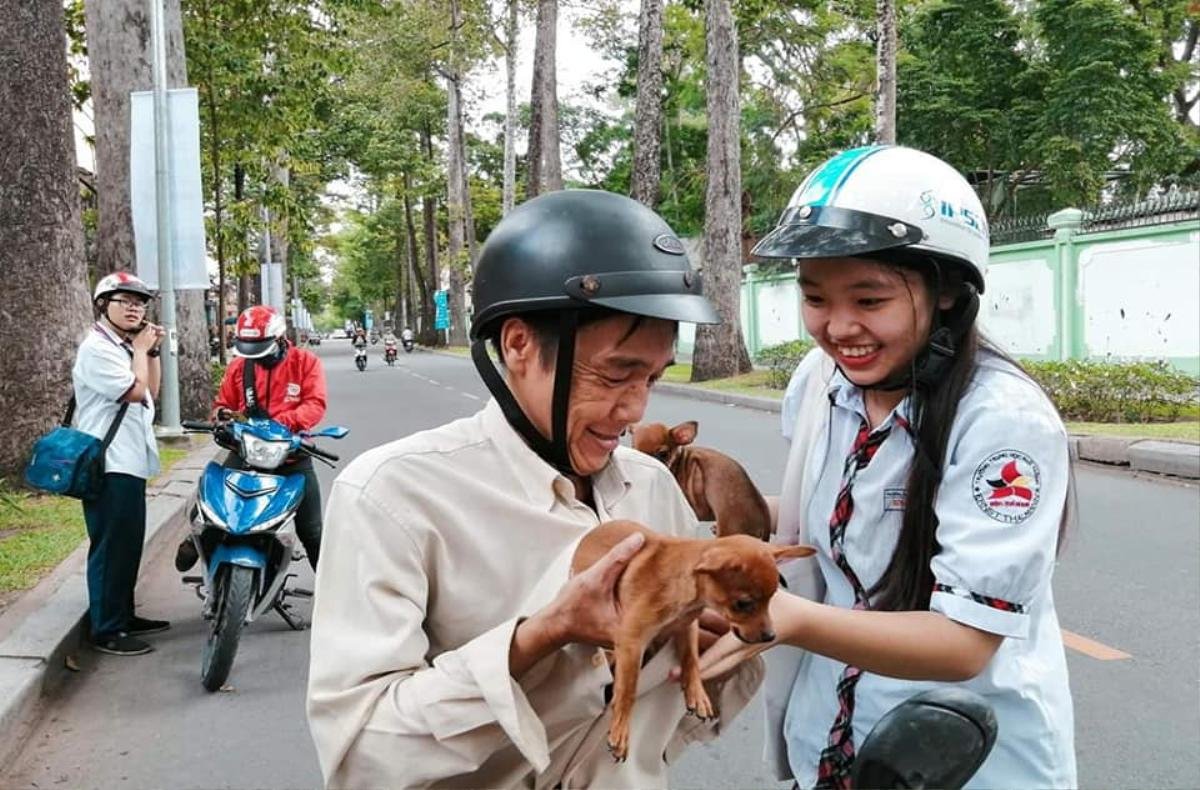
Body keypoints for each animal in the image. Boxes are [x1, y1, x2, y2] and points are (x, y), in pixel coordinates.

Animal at [568, 516, 816, 758]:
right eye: (743, 604)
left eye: (772, 598)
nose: (770, 636)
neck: (688, 598)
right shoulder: (632, 641)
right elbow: (628, 691)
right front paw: (620, 730)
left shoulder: (687, 627)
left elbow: (691, 658)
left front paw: (697, 694)